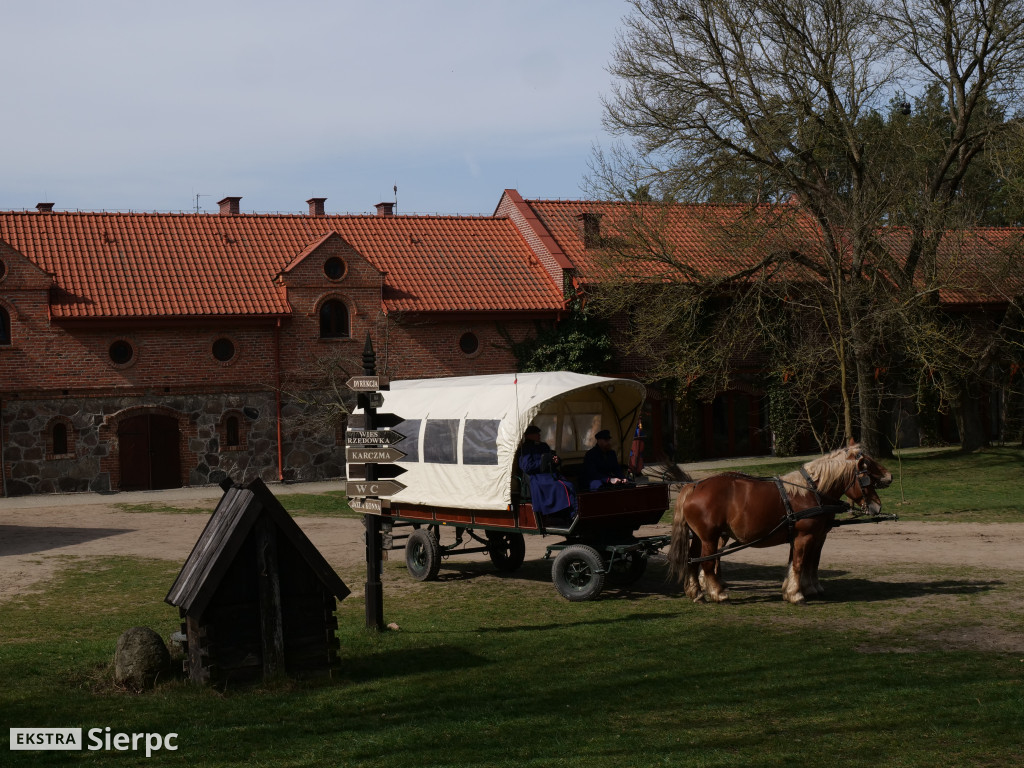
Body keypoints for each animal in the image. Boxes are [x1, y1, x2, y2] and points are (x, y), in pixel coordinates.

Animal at [667, 442, 892, 606]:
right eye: (867, 471)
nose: (889, 477)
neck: (811, 492)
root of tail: (694, 486)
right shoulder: (805, 536)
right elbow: (801, 563)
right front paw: (795, 594)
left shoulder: (811, 536)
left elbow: (805, 562)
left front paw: (802, 588)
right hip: (710, 537)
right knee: (706, 562)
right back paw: (717, 593)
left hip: (699, 536)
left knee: (692, 560)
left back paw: (696, 592)